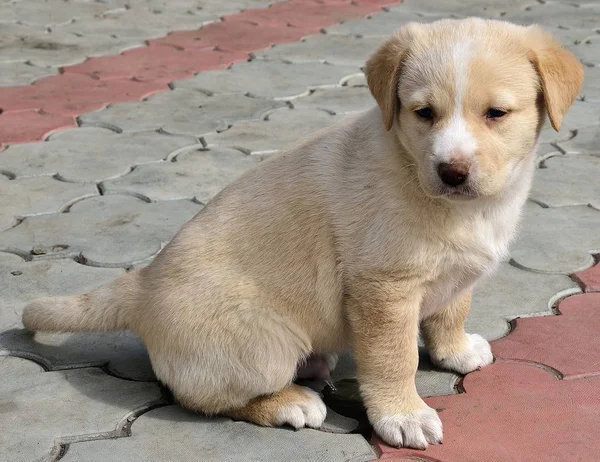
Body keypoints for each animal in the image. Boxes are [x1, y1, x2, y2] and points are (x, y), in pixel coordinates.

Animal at [22, 19, 580, 450]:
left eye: (496, 114)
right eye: (424, 114)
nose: (452, 171)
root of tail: (142, 285)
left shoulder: (452, 274)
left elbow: (451, 309)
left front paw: (456, 351)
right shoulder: (385, 287)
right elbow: (394, 358)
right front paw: (403, 415)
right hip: (263, 345)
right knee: (201, 397)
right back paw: (289, 402)